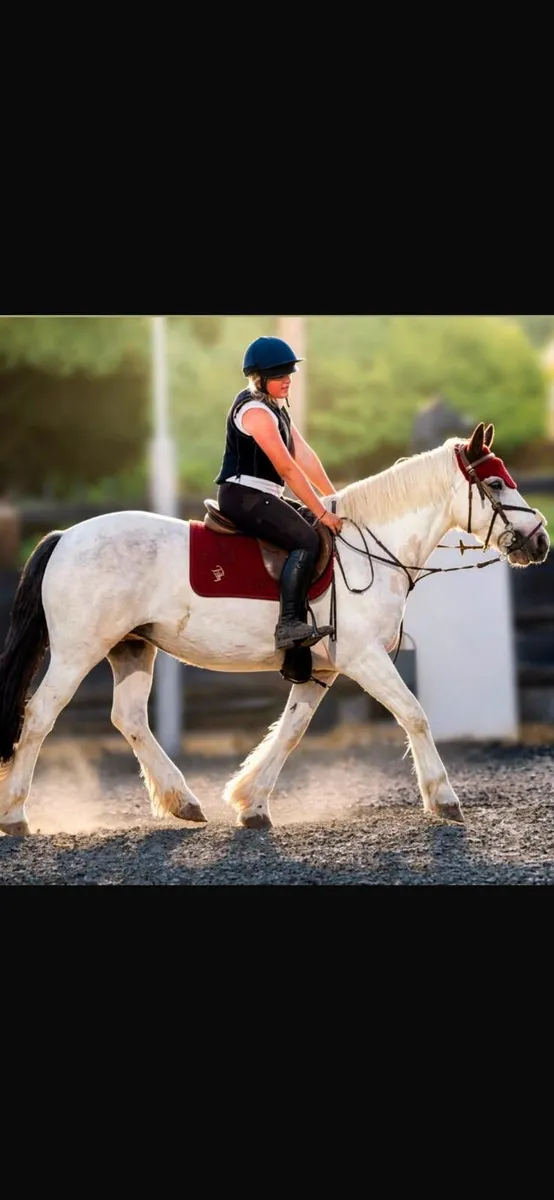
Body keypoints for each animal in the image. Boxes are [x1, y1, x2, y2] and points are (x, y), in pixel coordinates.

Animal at [0, 422, 549, 836]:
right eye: (495, 484)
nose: (540, 540)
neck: (372, 549)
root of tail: (65, 536)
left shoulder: (322, 670)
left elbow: (290, 732)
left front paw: (252, 805)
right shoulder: (364, 657)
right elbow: (414, 714)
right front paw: (444, 798)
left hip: (132, 647)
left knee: (129, 718)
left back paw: (184, 802)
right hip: (79, 650)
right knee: (40, 715)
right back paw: (16, 815)